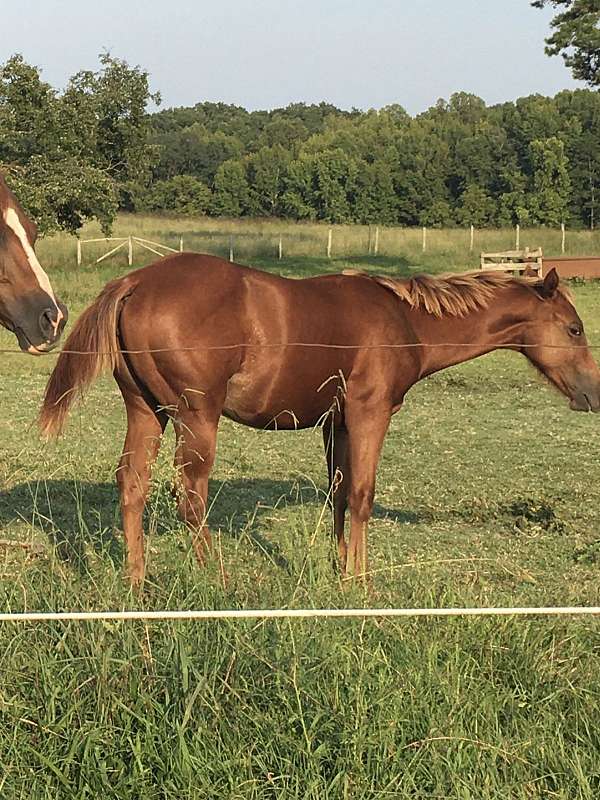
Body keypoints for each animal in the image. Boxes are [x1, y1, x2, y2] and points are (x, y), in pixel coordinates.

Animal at [38, 253, 600, 584]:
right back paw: (213, 577)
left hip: (147, 411)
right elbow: (363, 494)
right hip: (196, 416)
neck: (405, 321)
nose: (592, 393)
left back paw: (137, 581)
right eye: (574, 329)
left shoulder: (337, 422)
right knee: (190, 495)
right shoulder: (371, 413)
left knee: (132, 485)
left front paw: (339, 565)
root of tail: (133, 282)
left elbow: (339, 491)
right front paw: (360, 578)